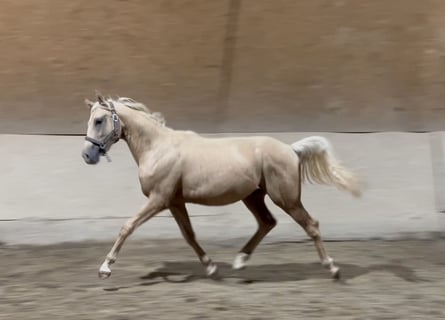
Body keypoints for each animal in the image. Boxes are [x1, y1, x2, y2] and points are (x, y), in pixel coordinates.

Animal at [81, 94, 360, 278]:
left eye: (99, 120)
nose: (87, 155)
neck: (158, 148)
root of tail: (291, 149)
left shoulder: (158, 199)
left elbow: (127, 226)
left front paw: (105, 268)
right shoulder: (174, 202)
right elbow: (189, 235)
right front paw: (211, 266)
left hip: (286, 198)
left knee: (311, 225)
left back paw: (332, 267)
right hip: (254, 197)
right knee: (267, 222)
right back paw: (240, 261)